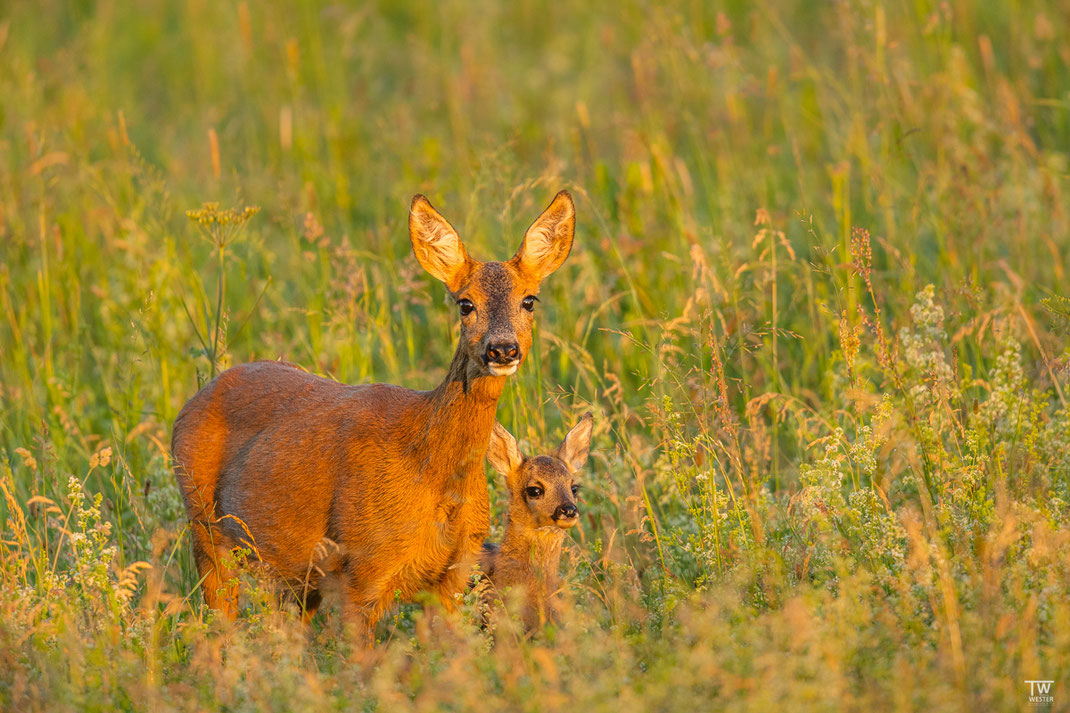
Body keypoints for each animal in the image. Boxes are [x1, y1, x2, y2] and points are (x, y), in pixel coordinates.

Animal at [170, 187, 577, 633]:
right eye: (465, 303)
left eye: (529, 300)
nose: (502, 349)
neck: (431, 469)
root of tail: (197, 395)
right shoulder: (364, 567)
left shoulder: (455, 575)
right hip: (203, 525)